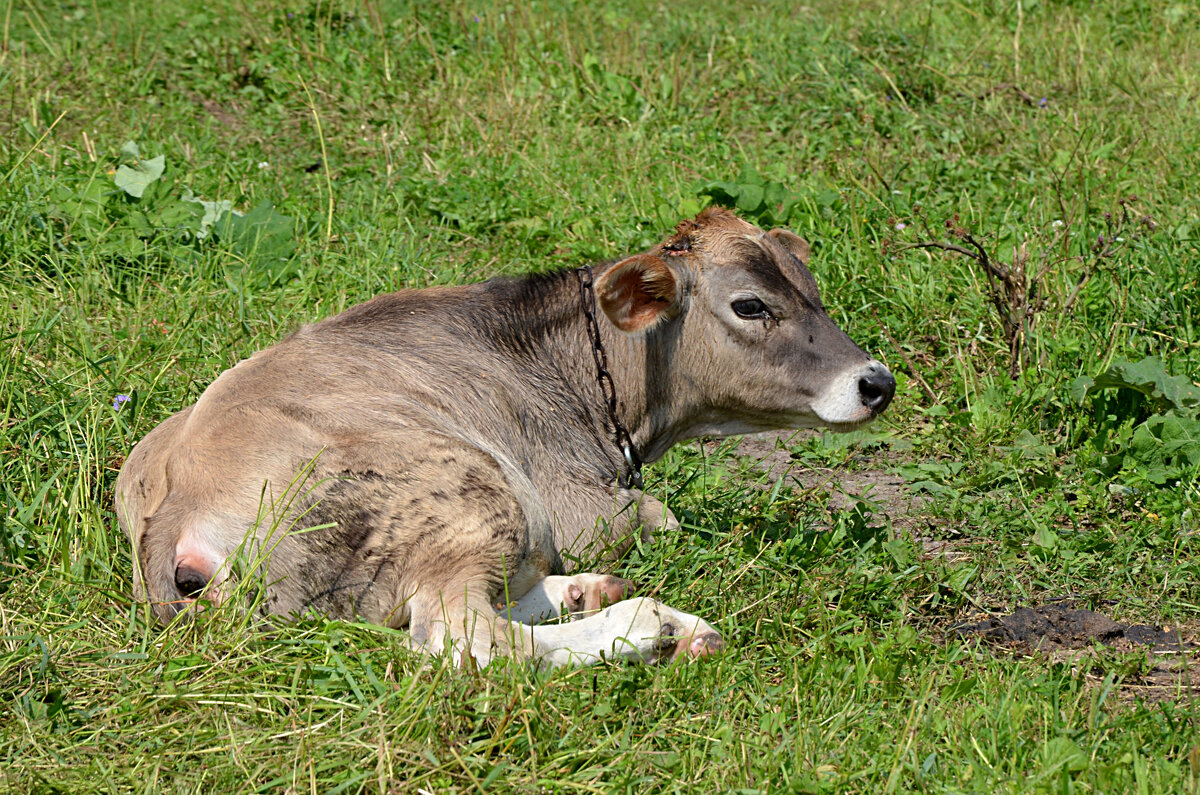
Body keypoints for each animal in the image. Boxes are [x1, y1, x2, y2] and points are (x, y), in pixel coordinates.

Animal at [117, 208, 897, 667]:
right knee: (466, 636)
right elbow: (660, 519)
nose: (877, 381)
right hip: (473, 485)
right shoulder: (586, 509)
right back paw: (651, 626)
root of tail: (172, 499)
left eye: (812, 289)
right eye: (750, 305)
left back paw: (592, 593)